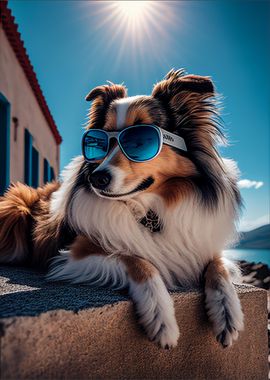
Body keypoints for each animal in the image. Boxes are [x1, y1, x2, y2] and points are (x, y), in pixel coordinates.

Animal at [0, 70, 245, 348]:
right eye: (99, 141)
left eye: (141, 141)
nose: (96, 178)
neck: (149, 209)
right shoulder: (75, 253)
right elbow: (137, 260)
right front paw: (161, 317)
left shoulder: (200, 245)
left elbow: (219, 267)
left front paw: (227, 312)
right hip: (17, 206)